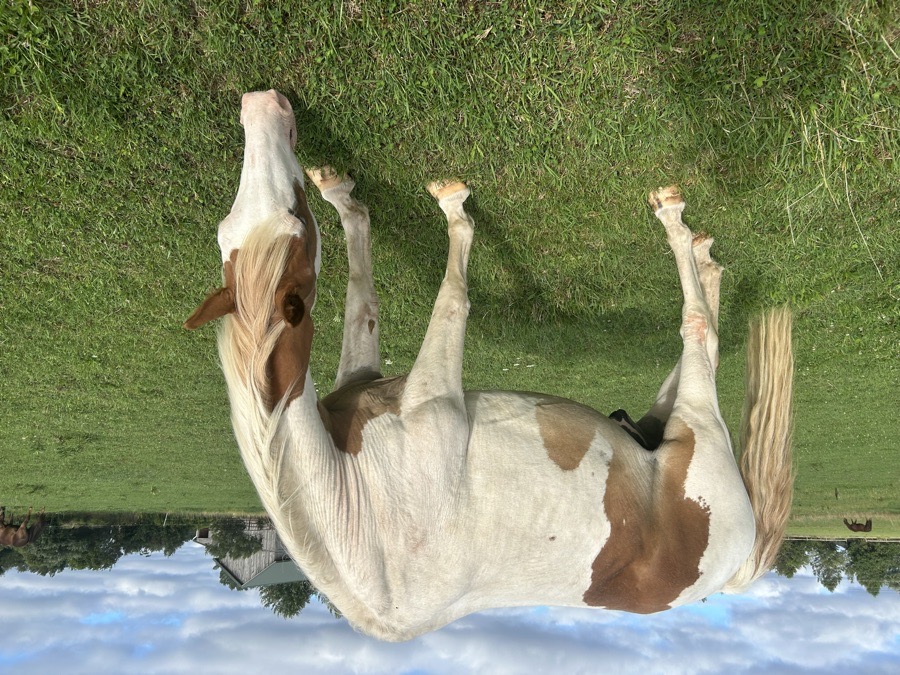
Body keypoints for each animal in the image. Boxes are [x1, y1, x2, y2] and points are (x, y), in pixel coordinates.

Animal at [185, 89, 794, 641]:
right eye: (228, 229)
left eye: (295, 215)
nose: (260, 104)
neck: (354, 512)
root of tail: (737, 558)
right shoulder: (408, 389)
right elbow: (408, 300)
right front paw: (410, 206)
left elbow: (396, 297)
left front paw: (377, 200)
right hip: (682, 420)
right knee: (702, 334)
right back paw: (690, 239)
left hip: (688, 421)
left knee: (701, 331)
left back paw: (686, 235)